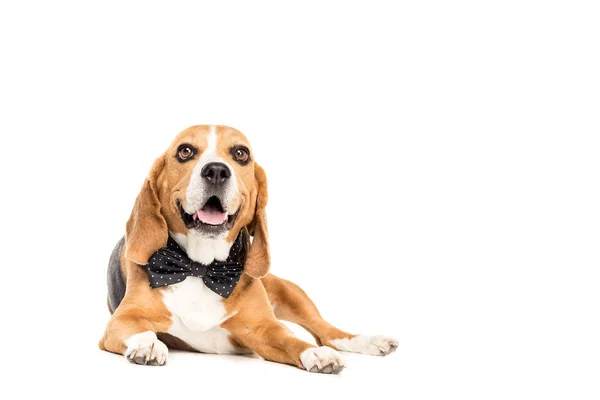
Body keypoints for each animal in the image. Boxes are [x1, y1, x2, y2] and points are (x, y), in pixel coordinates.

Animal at [99, 126, 398, 376]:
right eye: (185, 151)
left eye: (241, 154)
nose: (216, 171)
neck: (202, 268)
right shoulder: (120, 321)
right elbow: (138, 329)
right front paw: (146, 344)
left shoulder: (264, 328)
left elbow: (293, 340)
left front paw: (314, 354)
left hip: (292, 293)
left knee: (326, 332)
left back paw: (369, 341)